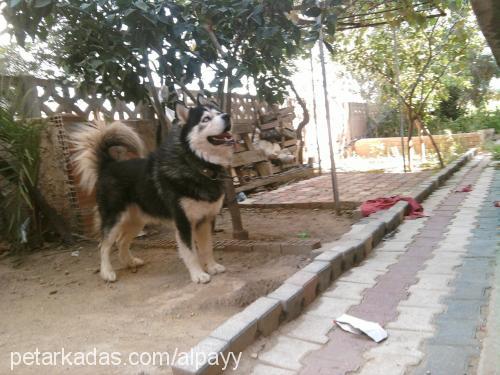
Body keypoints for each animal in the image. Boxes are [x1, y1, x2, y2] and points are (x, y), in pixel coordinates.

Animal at [72, 95, 234, 284]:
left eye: (219, 112)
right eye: (206, 119)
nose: (227, 116)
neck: (197, 165)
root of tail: (108, 164)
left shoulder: (206, 220)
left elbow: (207, 247)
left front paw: (212, 266)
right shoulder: (183, 222)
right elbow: (190, 252)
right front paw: (198, 274)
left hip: (136, 220)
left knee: (122, 242)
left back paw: (129, 262)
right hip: (114, 219)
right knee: (104, 245)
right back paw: (107, 272)